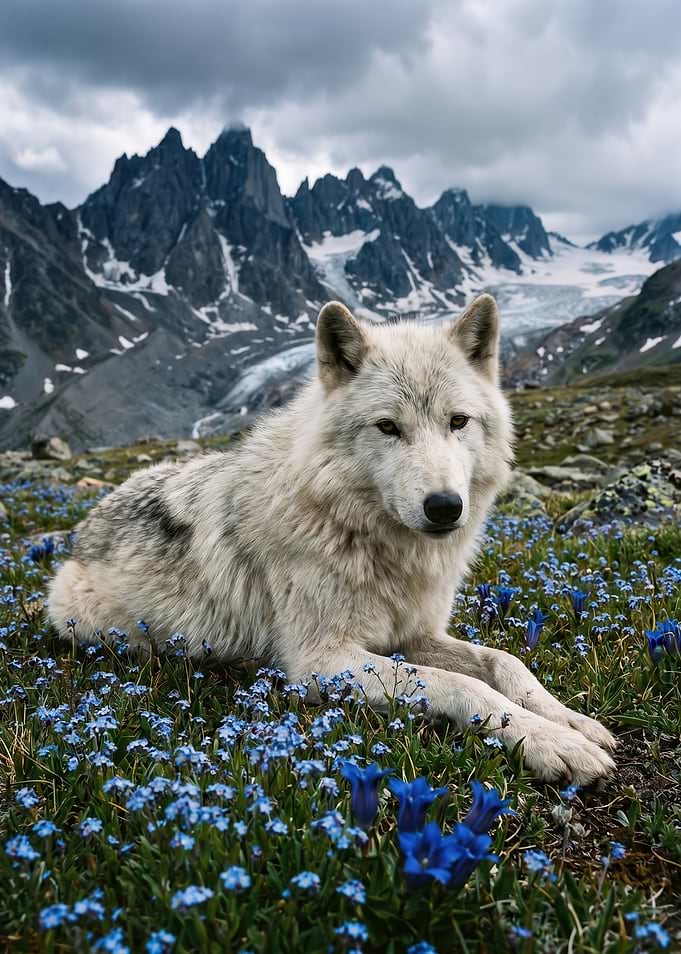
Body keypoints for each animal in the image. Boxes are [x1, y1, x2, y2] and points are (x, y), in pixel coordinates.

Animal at [49, 295, 616, 785]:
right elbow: (467, 685)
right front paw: (550, 741)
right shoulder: (321, 661)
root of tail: (86, 526)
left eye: (458, 421)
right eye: (388, 427)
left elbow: (505, 661)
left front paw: (570, 720)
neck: (375, 544)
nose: (444, 507)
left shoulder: (415, 634)